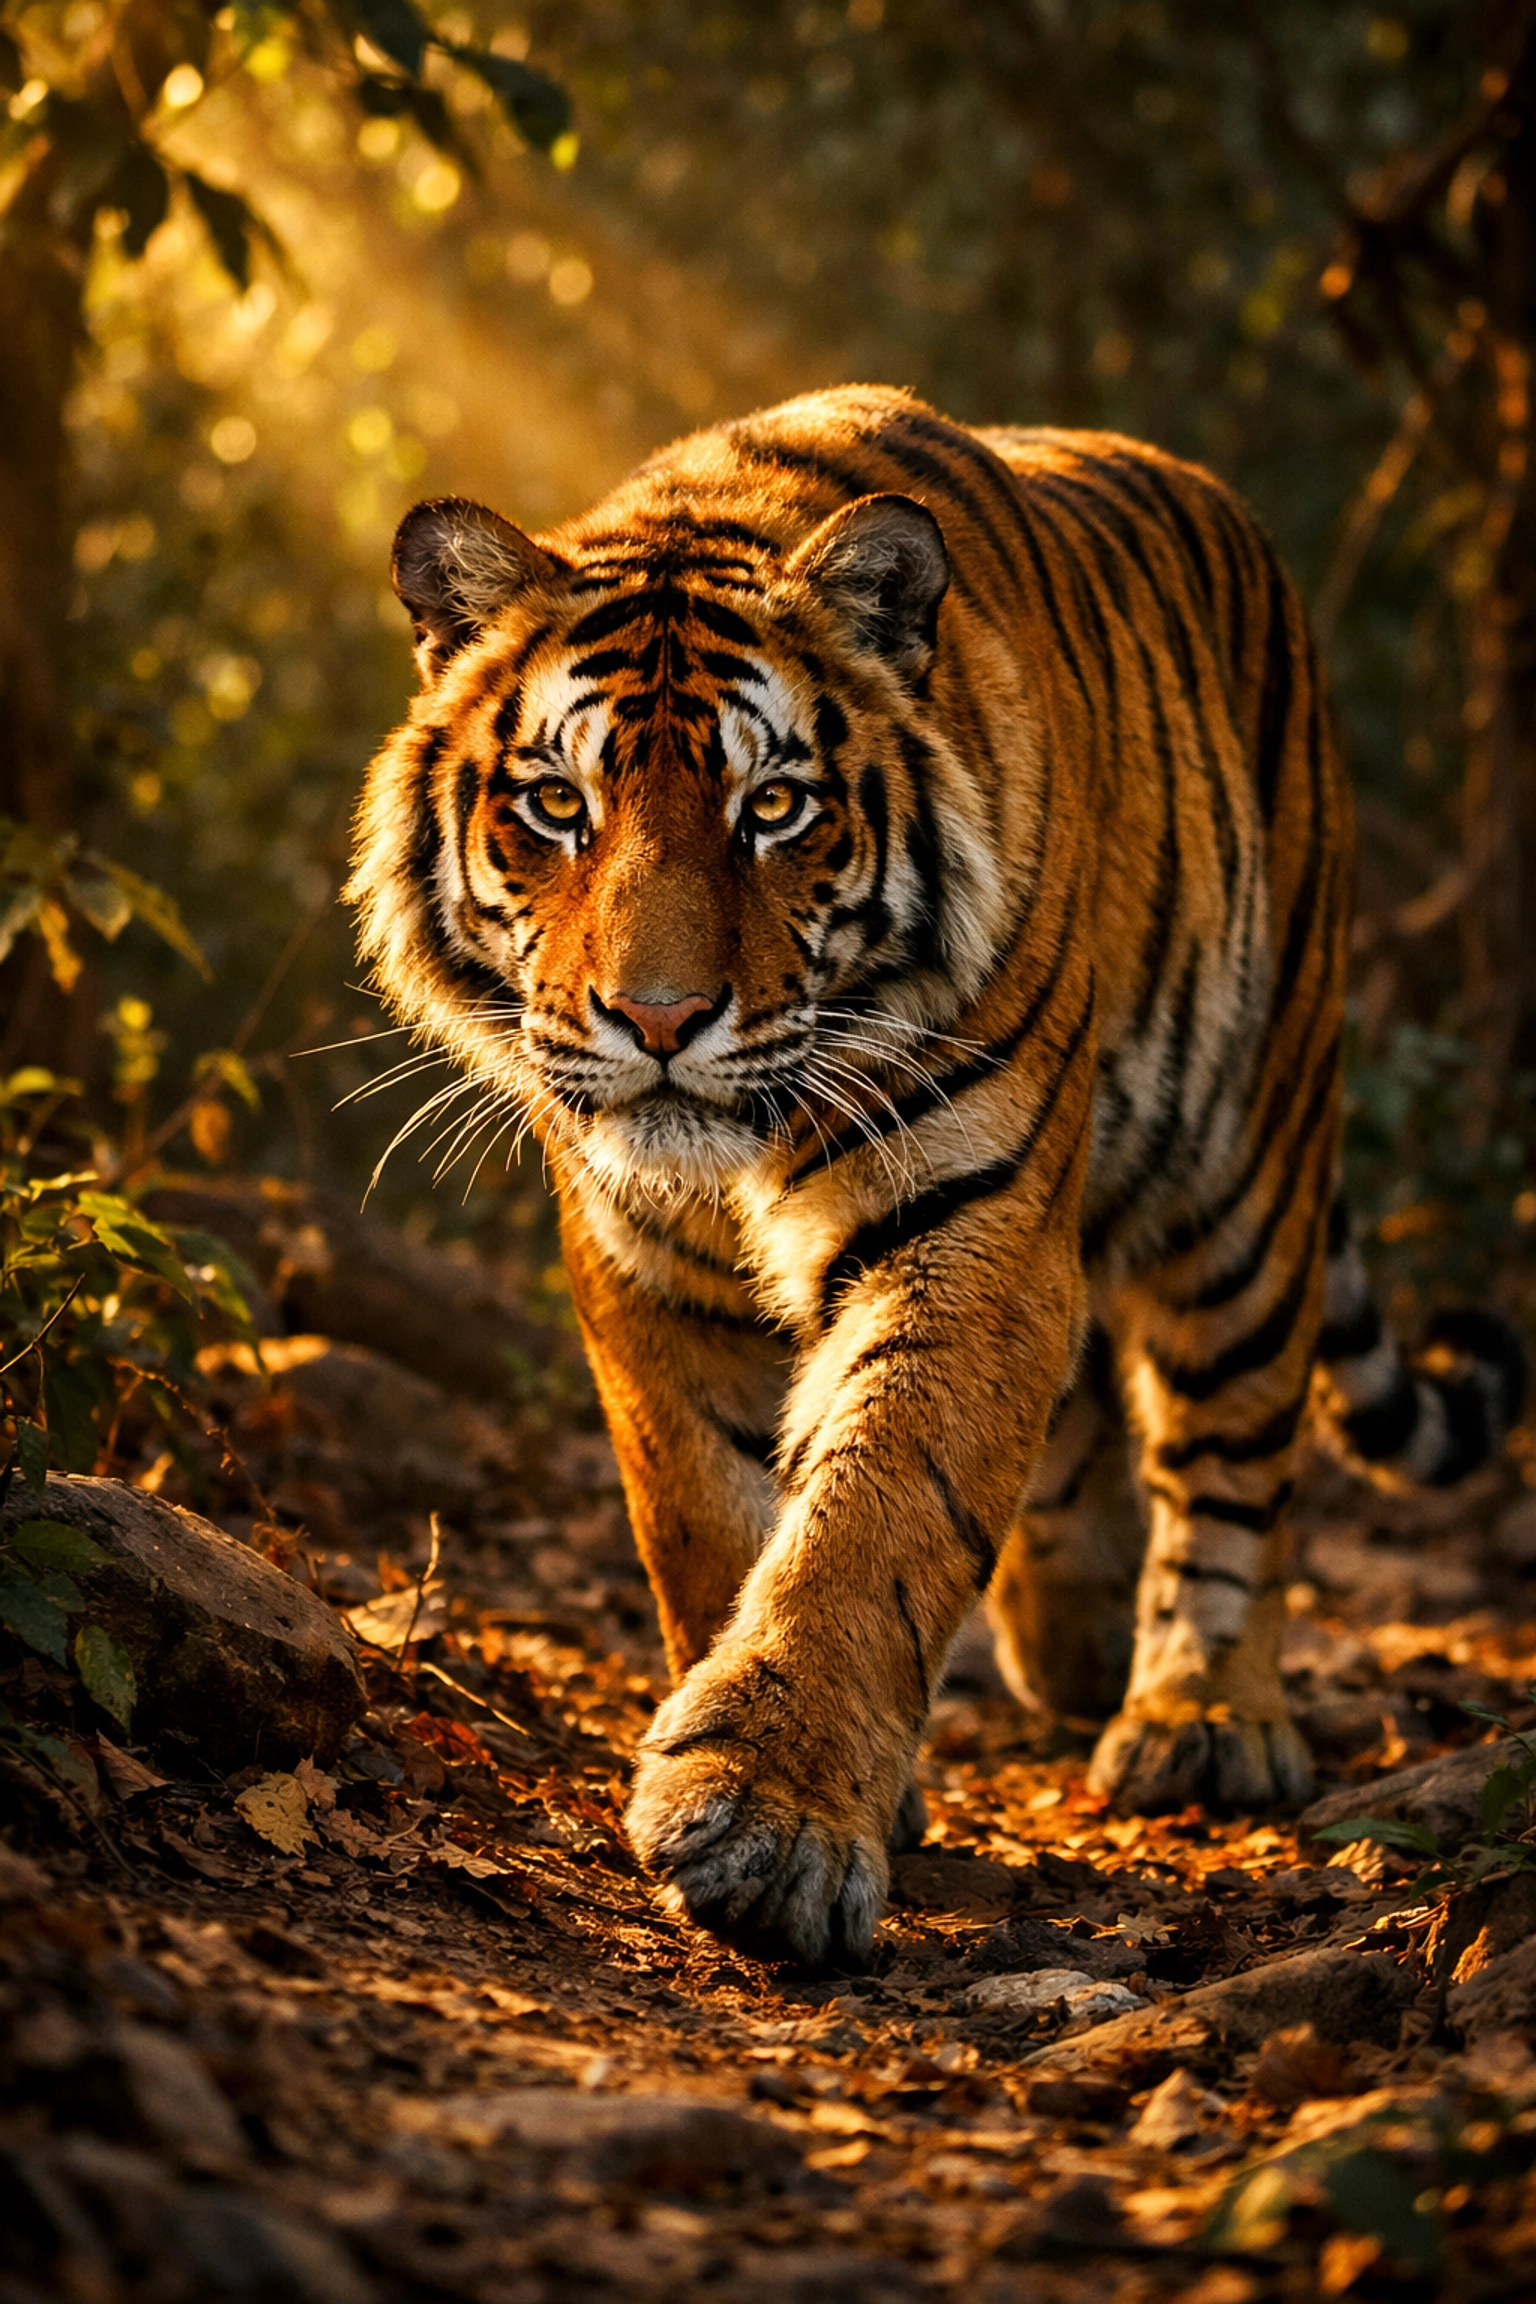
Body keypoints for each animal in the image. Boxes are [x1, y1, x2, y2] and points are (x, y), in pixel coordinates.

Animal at [347, 385, 1522, 1966]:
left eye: (775, 808)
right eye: (553, 803)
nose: (659, 1019)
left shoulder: (973, 1226)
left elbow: (878, 1511)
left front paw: (772, 1823)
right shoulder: (640, 1259)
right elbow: (707, 1515)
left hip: (1251, 1162)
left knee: (1235, 1449)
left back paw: (1201, 1716)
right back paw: (1077, 1641)